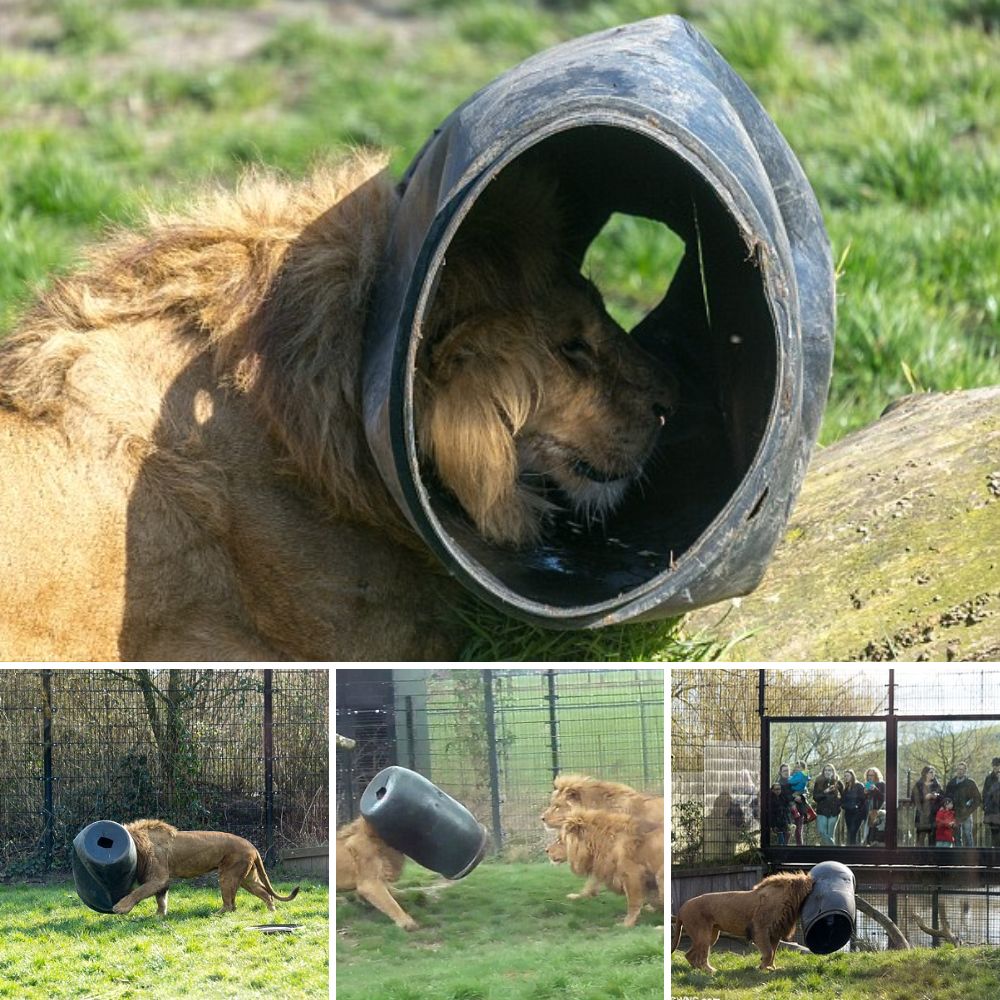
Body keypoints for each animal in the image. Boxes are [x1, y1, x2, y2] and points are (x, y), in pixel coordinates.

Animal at [110, 820, 298, 916]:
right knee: (265, 894)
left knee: (229, 904)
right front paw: (159, 916)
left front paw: (120, 907)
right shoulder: (161, 881)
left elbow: (138, 892)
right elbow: (161, 900)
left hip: (228, 875)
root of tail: (253, 846)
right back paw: (272, 912)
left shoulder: (158, 878)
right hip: (247, 878)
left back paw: (216, 914)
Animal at [672, 872, 812, 972]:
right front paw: (761, 968)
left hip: (711, 935)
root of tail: (681, 908)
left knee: (689, 955)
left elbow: (773, 953)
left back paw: (697, 970)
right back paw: (710, 971)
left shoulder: (775, 933)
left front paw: (771, 968)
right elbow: (768, 952)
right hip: (703, 935)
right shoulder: (760, 929)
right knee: (701, 956)